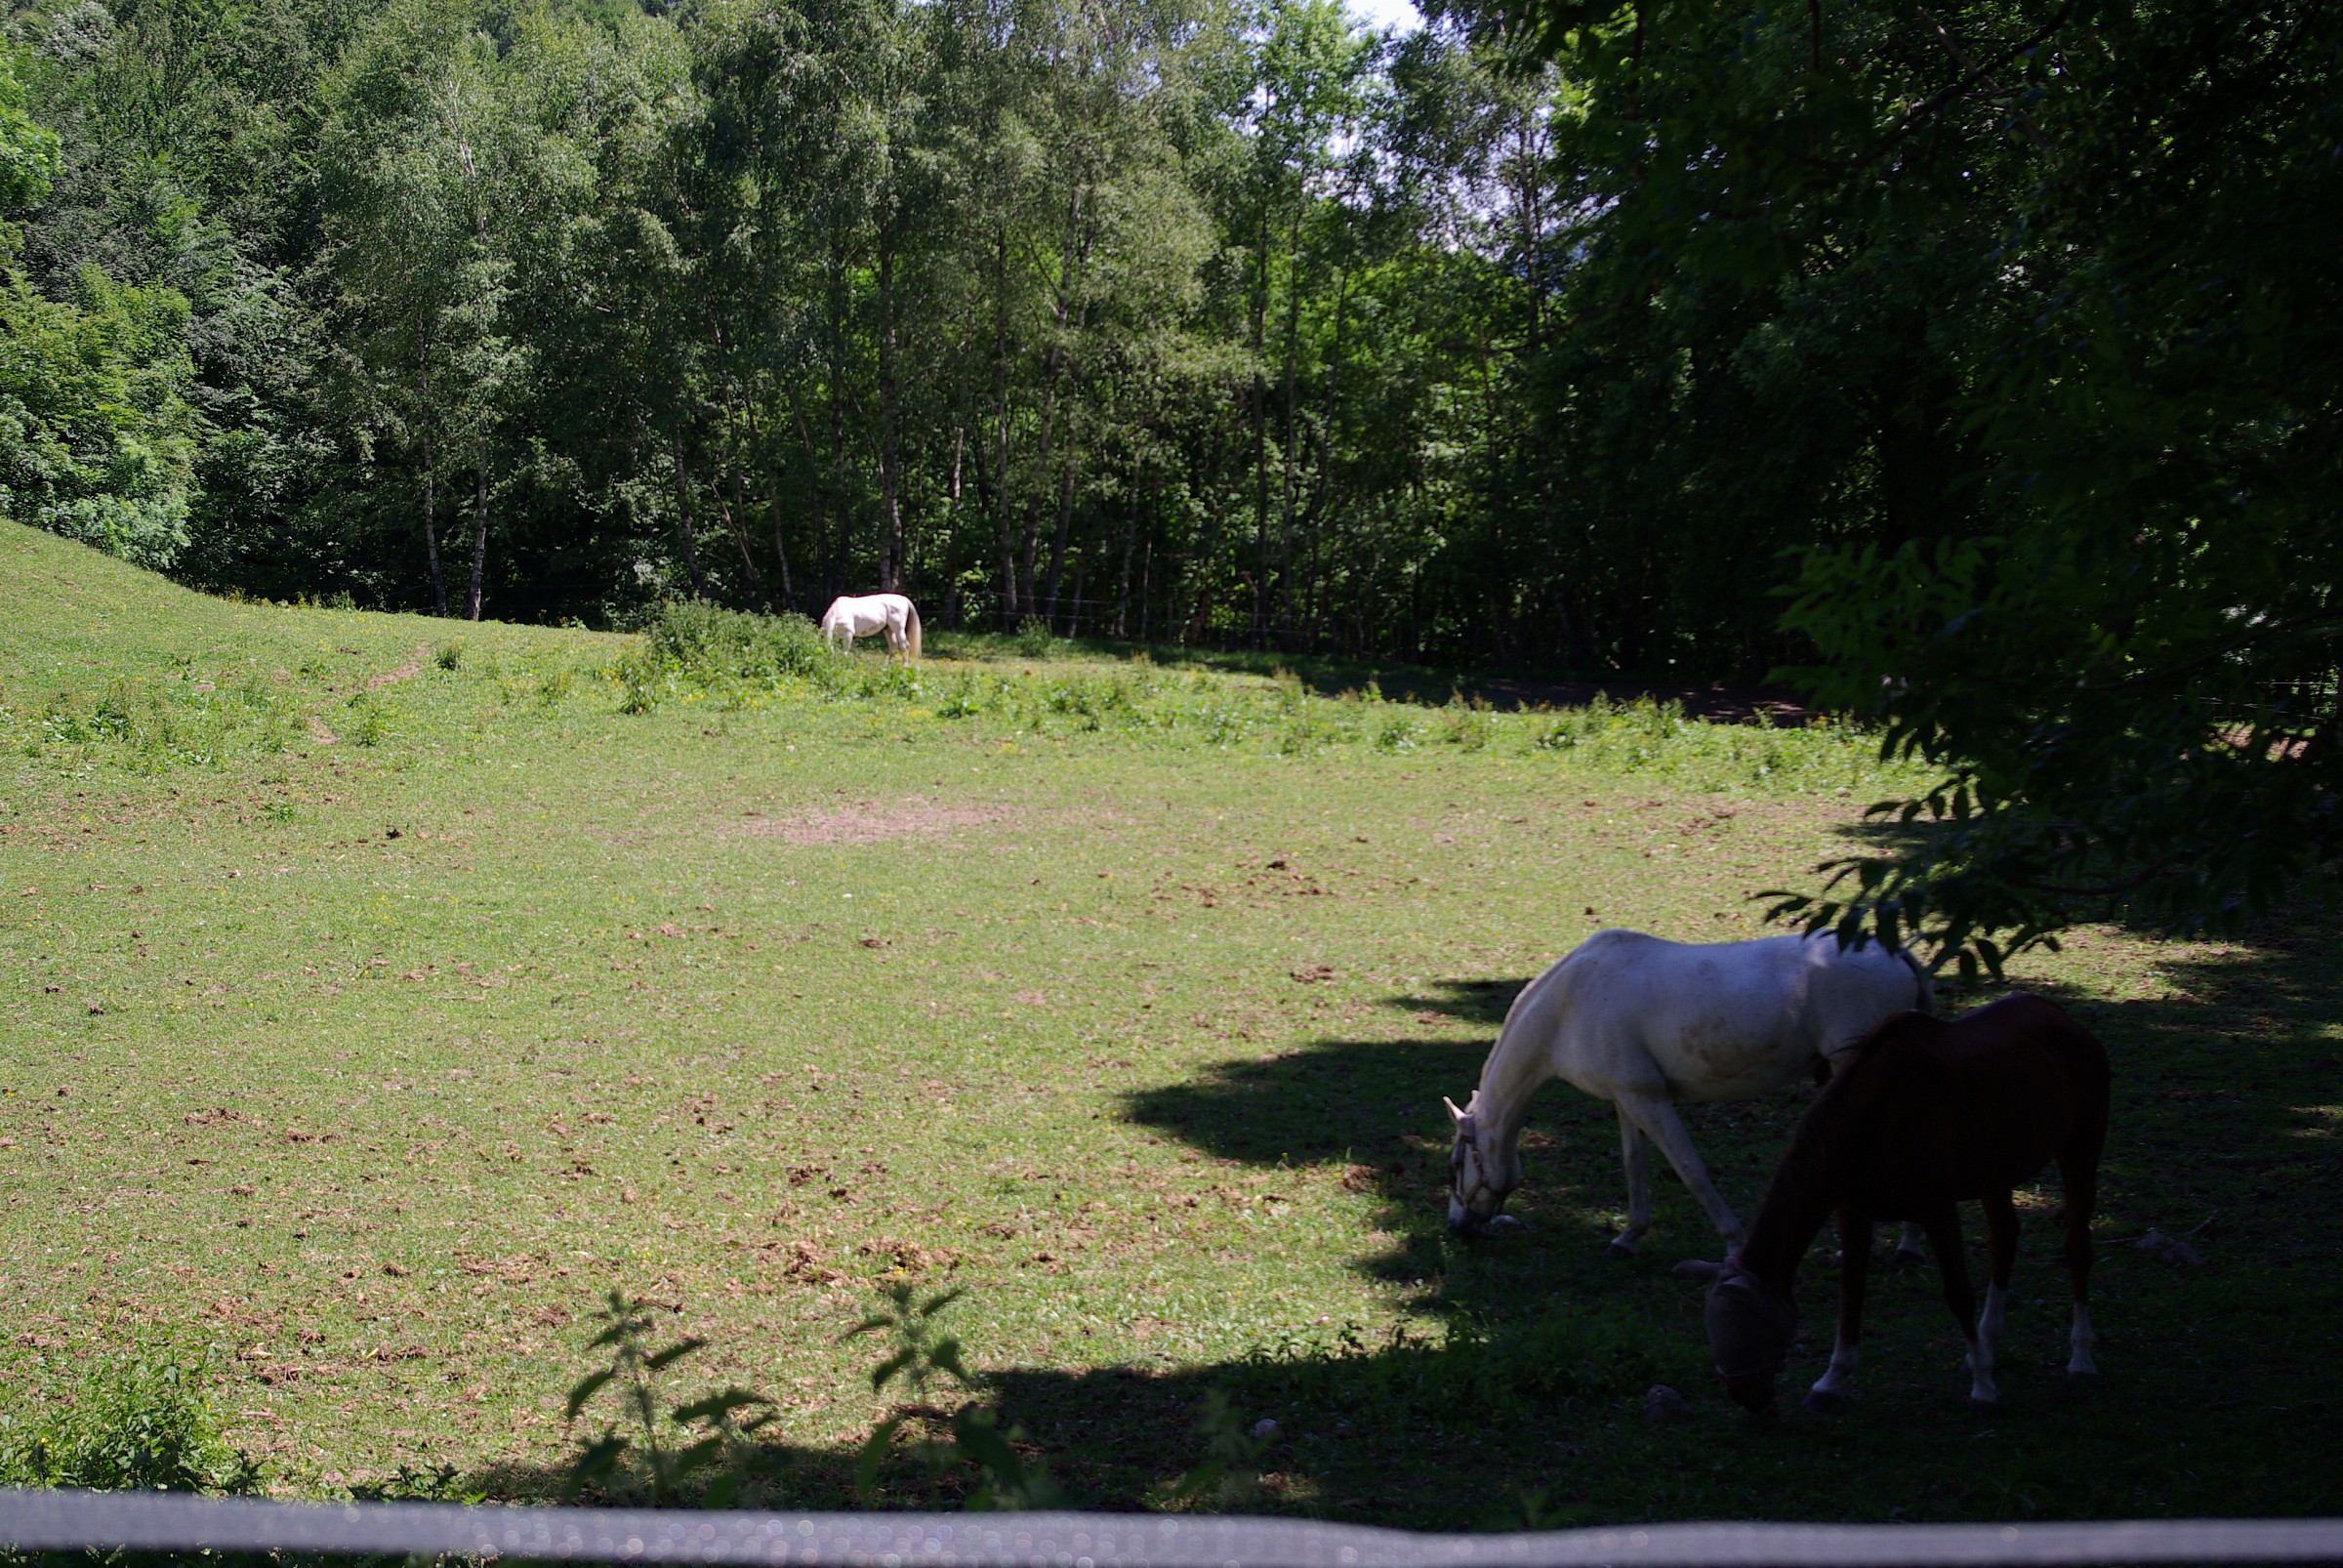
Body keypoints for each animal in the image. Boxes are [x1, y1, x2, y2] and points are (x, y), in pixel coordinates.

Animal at [1445, 929, 1932, 1257]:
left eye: (1455, 1165)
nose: (1457, 1227)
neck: (1569, 1005)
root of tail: (1895, 954)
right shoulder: (1627, 1098)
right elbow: (1634, 1164)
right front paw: (1628, 1237)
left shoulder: (1649, 1100)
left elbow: (1690, 1169)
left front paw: (1735, 1245)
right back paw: (1908, 1246)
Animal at [1696, 991, 2108, 1414]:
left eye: (1750, 1321)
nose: (1746, 1397)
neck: (1875, 1117)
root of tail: (2063, 1019)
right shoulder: (1853, 1212)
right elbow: (1851, 1294)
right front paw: (1831, 1382)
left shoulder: (1939, 1211)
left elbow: (1959, 1293)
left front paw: (1984, 1388)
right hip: (1995, 1174)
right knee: (2005, 1240)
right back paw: (1990, 1343)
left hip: (2080, 1151)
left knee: (2078, 1250)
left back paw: (2081, 1359)